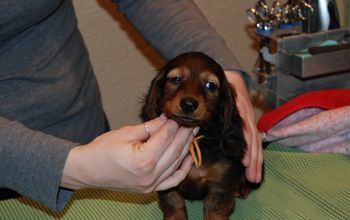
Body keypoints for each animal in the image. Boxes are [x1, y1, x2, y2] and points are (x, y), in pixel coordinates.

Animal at [141, 52, 258, 219]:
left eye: (210, 85)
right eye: (176, 79)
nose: (188, 104)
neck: (197, 141)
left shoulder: (221, 182)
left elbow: (215, 209)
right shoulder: (166, 179)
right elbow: (173, 202)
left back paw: (243, 188)